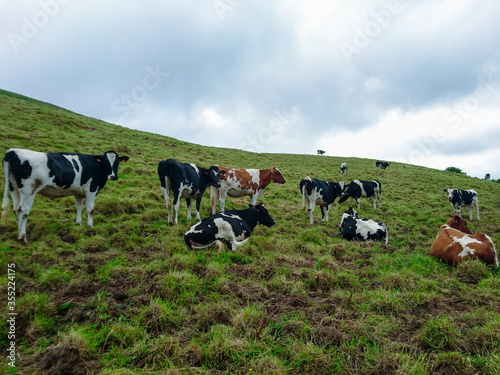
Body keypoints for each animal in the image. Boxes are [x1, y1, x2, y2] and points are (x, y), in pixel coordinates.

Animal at [1, 148, 129, 242]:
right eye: (106, 162)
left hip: (14, 188)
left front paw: (78, 224)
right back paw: (23, 237)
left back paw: (18, 233)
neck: (96, 166)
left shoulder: (77, 192)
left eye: (117, 162)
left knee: (16, 209)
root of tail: (12, 151)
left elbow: (79, 208)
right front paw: (90, 225)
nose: (113, 176)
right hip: (28, 191)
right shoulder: (91, 189)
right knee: (24, 211)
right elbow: (90, 209)